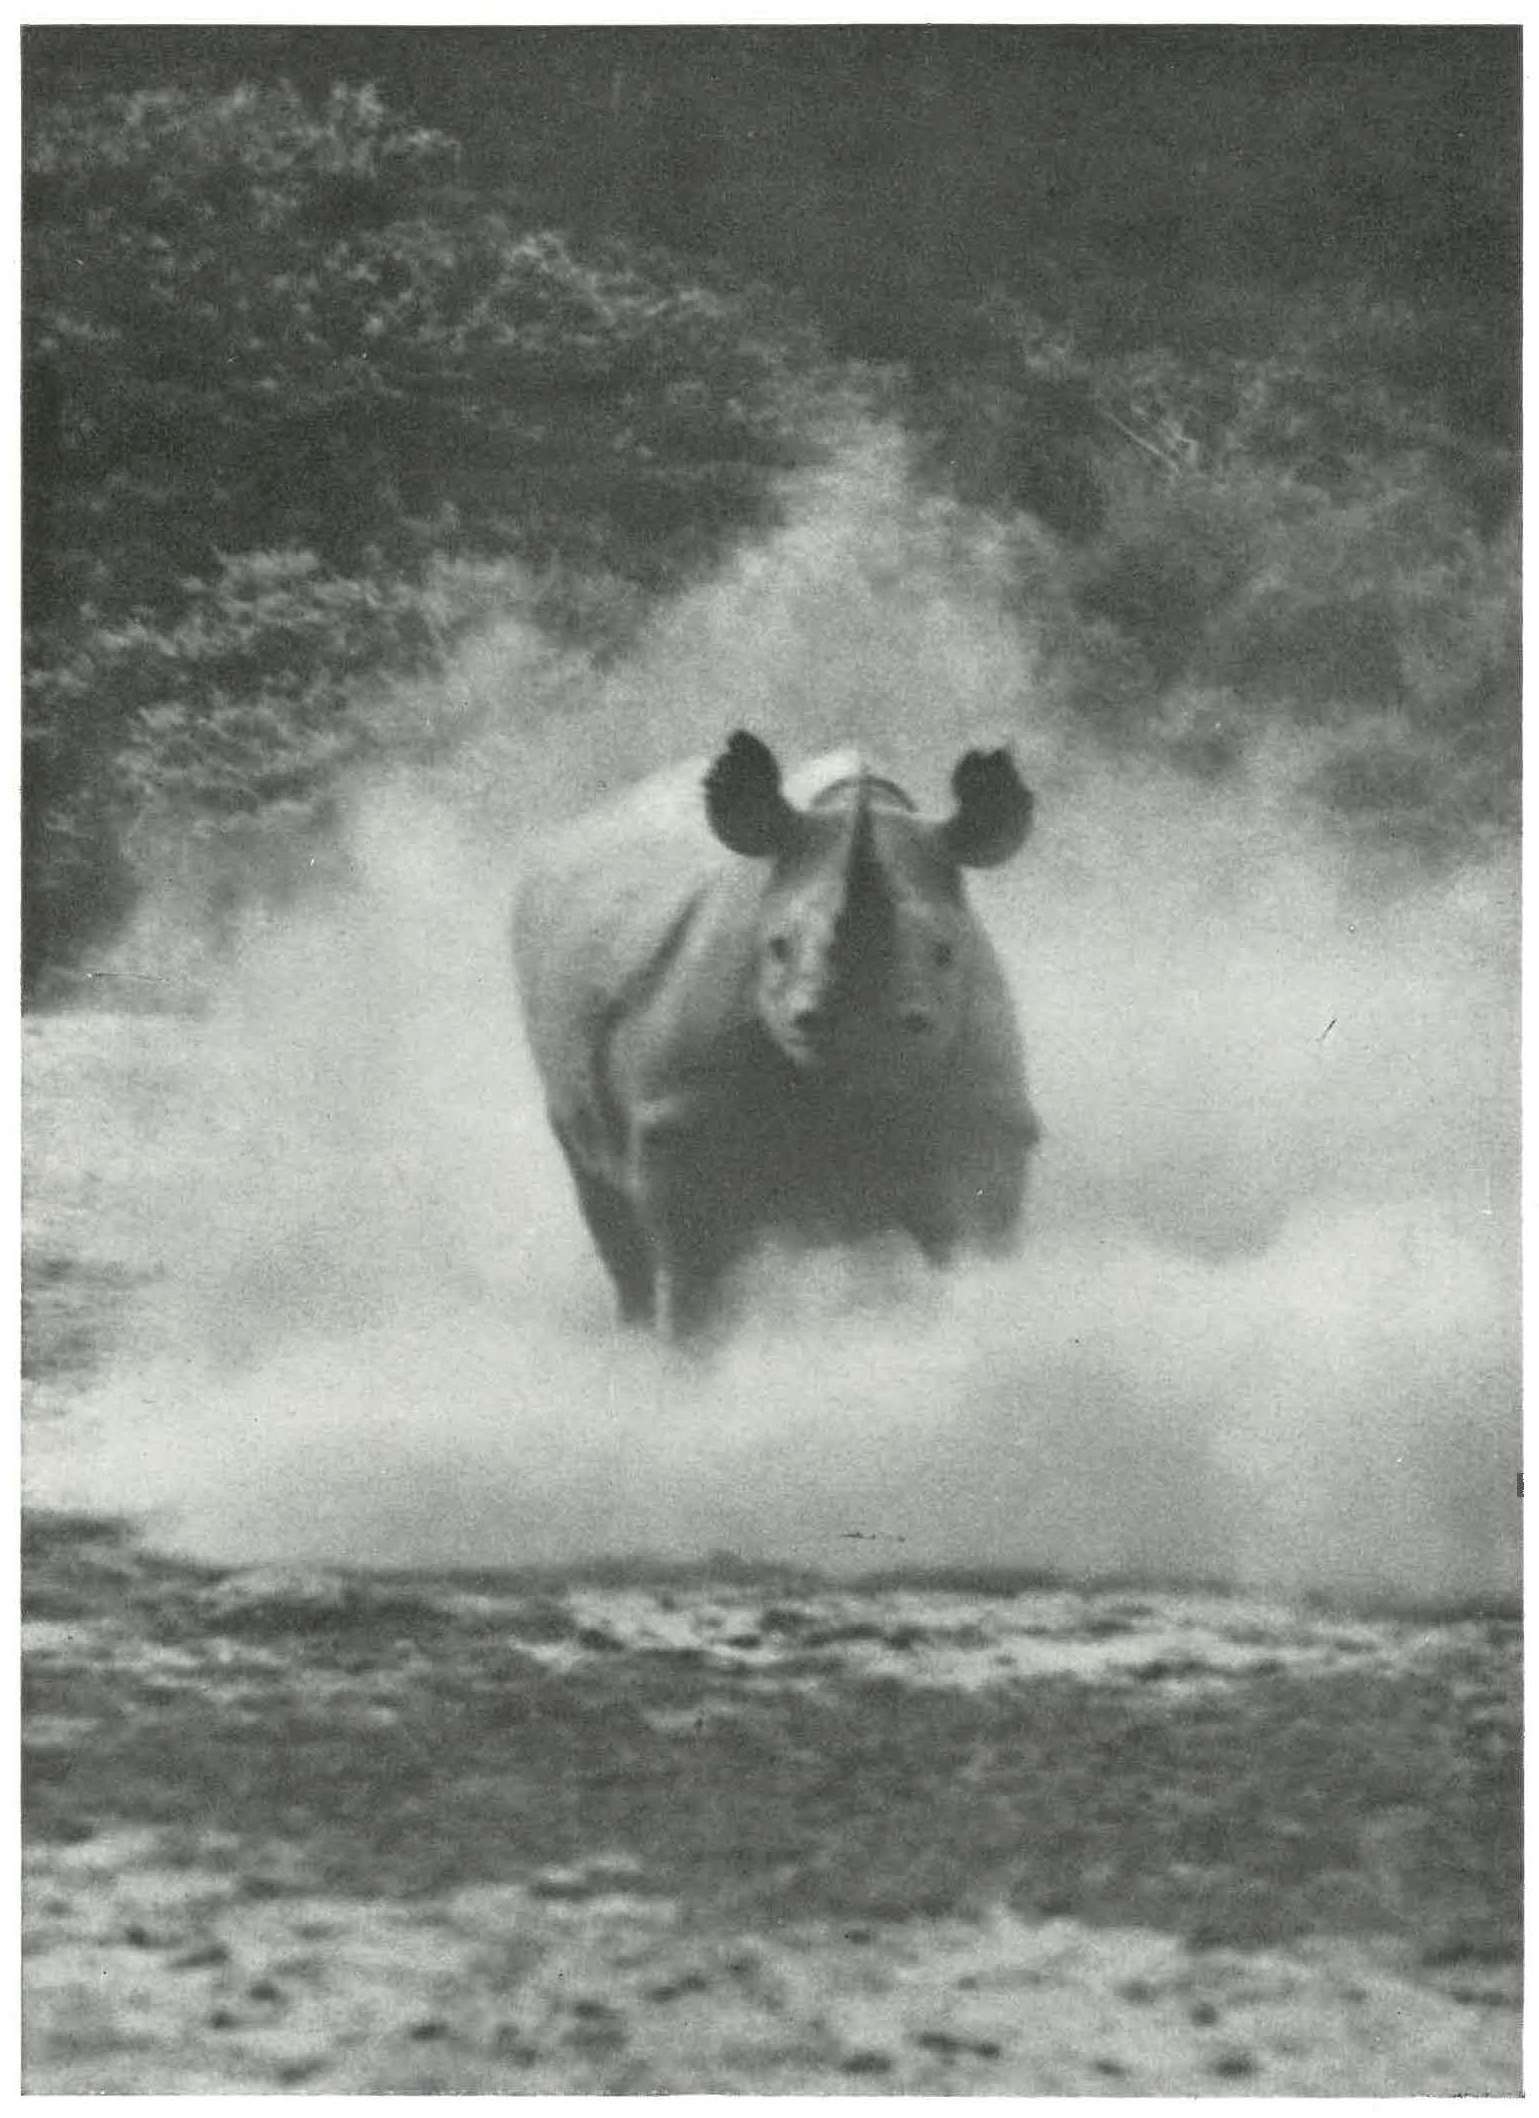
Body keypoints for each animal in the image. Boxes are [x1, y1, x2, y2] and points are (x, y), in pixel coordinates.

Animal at [513, 731, 1040, 1339]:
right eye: (777, 947)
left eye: (945, 952)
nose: (862, 1039)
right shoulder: (680, 1126)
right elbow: (696, 1276)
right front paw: (694, 1356)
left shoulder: (983, 1116)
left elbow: (971, 1243)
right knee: (606, 1203)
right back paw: (634, 1337)